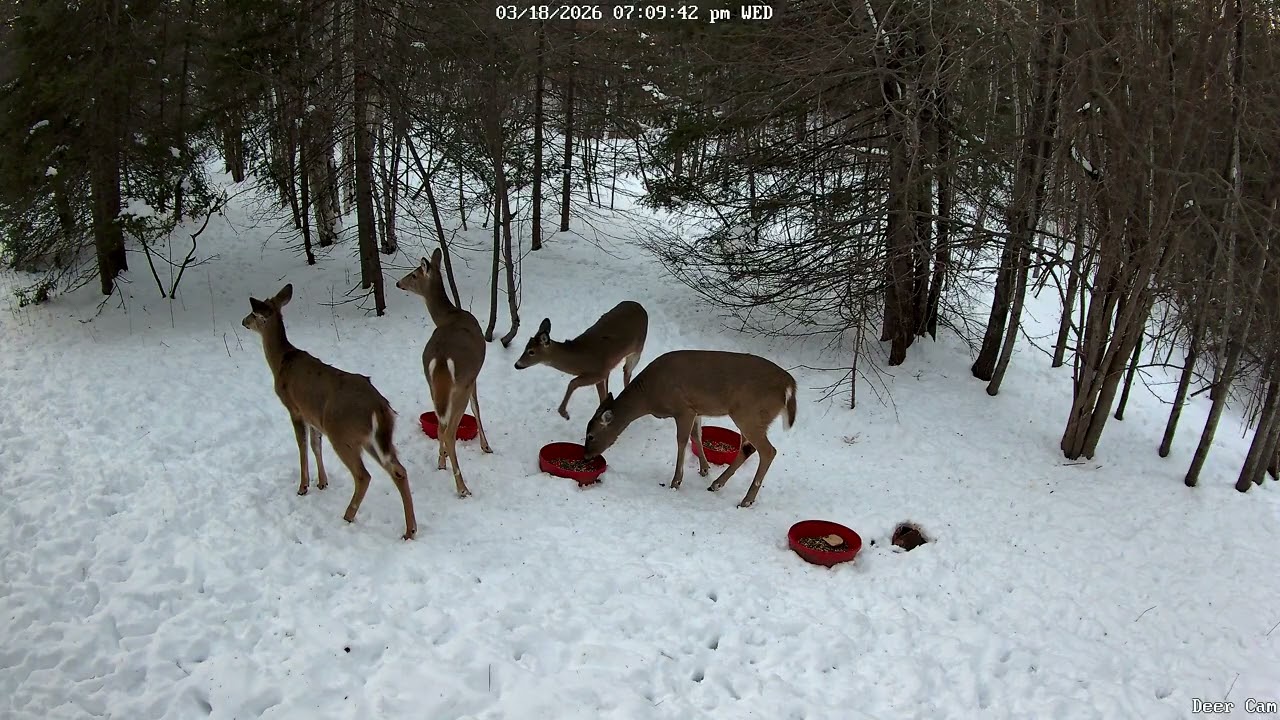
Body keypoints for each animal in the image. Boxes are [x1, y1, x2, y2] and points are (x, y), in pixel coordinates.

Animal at [241, 284, 417, 540]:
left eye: (254, 314)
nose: (243, 321)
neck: (282, 362)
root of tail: (380, 407)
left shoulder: (295, 409)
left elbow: (302, 446)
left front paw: (303, 486)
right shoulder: (314, 417)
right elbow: (316, 444)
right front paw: (322, 482)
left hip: (343, 434)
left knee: (364, 475)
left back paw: (348, 515)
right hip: (373, 439)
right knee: (399, 471)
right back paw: (410, 529)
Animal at [396, 249, 493, 498]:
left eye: (413, 274)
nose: (398, 283)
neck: (449, 314)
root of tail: (440, 359)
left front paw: (442, 460)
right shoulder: (473, 376)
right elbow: (477, 408)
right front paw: (486, 446)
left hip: (433, 384)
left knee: (441, 425)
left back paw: (442, 462)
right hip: (460, 385)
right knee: (449, 431)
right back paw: (462, 487)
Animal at [513, 300, 648, 421]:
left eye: (531, 351)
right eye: (525, 347)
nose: (516, 365)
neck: (579, 361)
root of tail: (640, 307)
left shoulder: (599, 372)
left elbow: (573, 383)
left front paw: (564, 413)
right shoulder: (603, 373)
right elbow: (602, 396)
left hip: (638, 348)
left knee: (627, 372)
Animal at [582, 349, 797, 508]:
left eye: (590, 436)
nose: (585, 457)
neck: (649, 396)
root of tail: (789, 385)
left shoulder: (682, 408)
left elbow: (682, 440)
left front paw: (676, 481)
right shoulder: (695, 409)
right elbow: (697, 435)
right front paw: (704, 469)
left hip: (749, 413)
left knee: (768, 451)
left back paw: (746, 500)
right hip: (751, 417)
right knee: (747, 448)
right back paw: (716, 484)